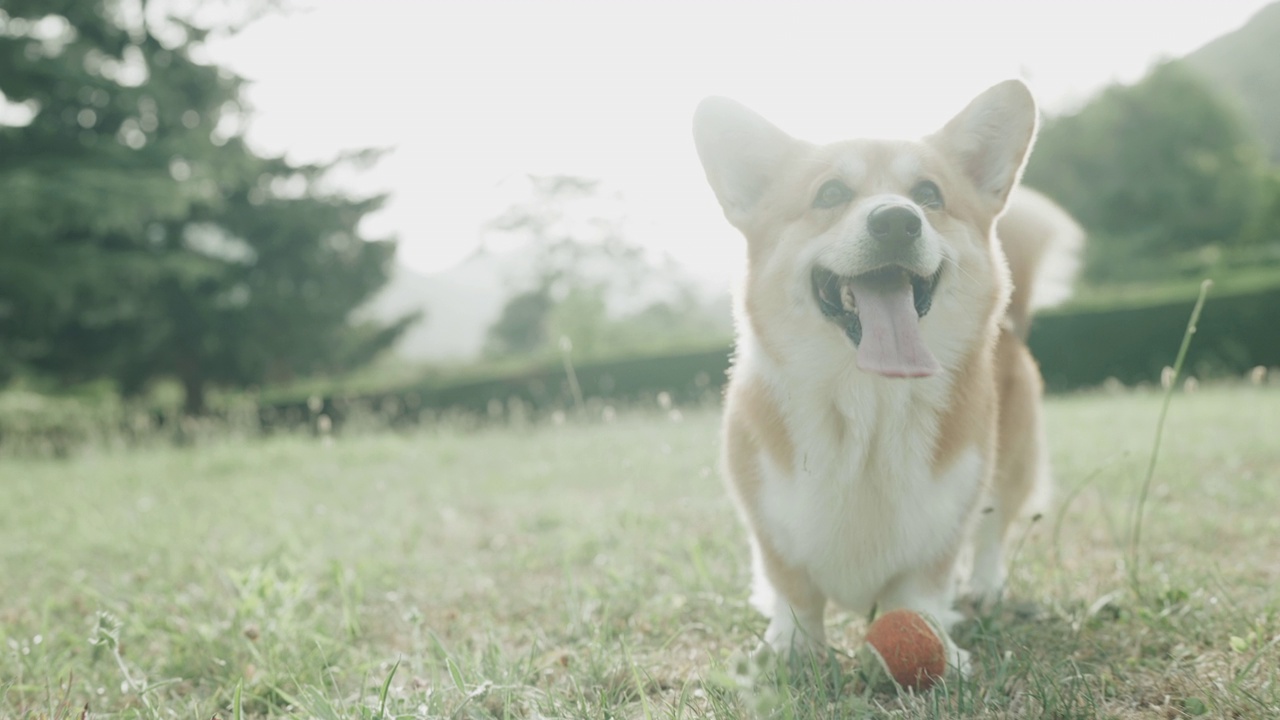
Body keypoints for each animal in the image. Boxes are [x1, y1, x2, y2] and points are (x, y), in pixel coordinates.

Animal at [696, 81, 1085, 671]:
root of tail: (1012, 324)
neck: (869, 404)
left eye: (927, 193)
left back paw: (985, 586)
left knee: (995, 526)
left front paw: (938, 646)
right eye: (831, 193)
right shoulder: (770, 518)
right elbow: (793, 589)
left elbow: (921, 589)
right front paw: (790, 650)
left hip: (1009, 460)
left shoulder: (943, 519)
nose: (898, 221)